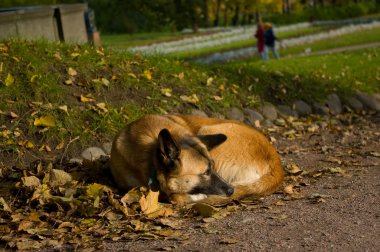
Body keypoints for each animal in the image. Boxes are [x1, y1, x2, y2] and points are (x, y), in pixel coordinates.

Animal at [110, 114, 282, 205]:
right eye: (206, 172)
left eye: (212, 168)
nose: (231, 190)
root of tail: (277, 167)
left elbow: (175, 196)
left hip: (208, 129)